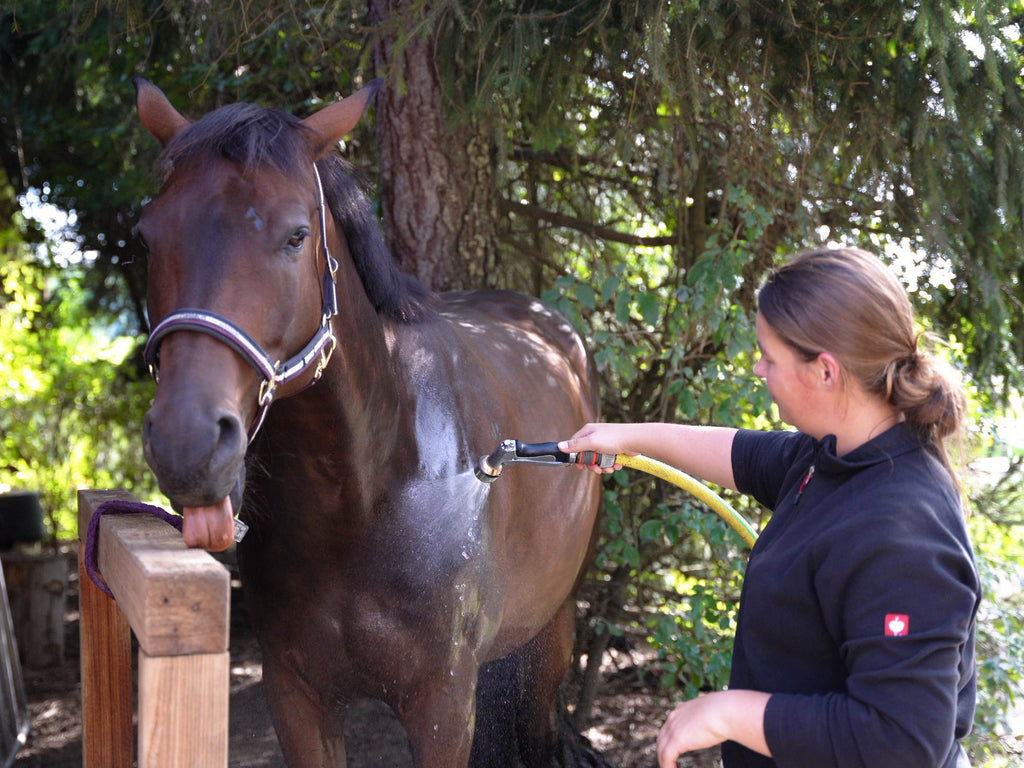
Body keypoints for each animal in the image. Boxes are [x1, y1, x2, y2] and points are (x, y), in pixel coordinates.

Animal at [132, 77, 603, 768]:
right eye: (148, 235)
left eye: (297, 235)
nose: (185, 442)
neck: (365, 494)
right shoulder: (296, 695)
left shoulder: (442, 705)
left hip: (552, 626)